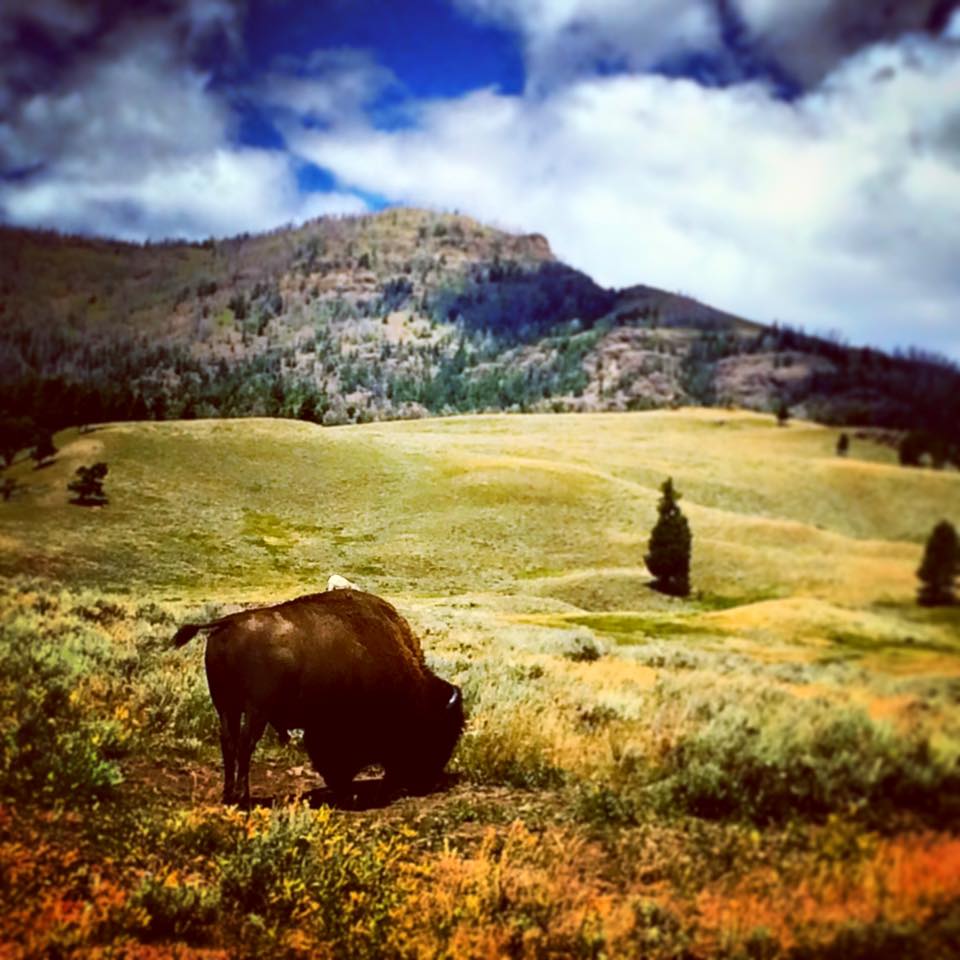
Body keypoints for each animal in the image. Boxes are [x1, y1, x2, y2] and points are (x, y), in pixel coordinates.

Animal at [177, 588, 468, 808]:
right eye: (440, 732)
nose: (426, 780)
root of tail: (228, 623)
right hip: (255, 710)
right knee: (245, 744)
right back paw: (243, 797)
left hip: (226, 706)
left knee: (228, 741)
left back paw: (228, 794)